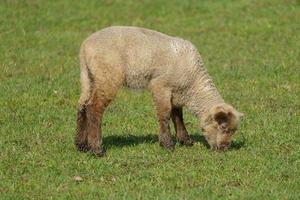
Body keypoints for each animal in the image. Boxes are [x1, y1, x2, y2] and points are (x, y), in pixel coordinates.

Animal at [75, 25, 244, 156]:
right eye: (223, 127)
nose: (224, 149)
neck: (194, 84)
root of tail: (85, 47)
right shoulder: (160, 86)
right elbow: (165, 115)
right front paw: (167, 144)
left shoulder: (177, 92)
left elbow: (178, 116)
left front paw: (185, 140)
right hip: (107, 76)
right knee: (94, 108)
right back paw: (97, 149)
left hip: (89, 78)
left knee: (82, 106)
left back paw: (82, 145)